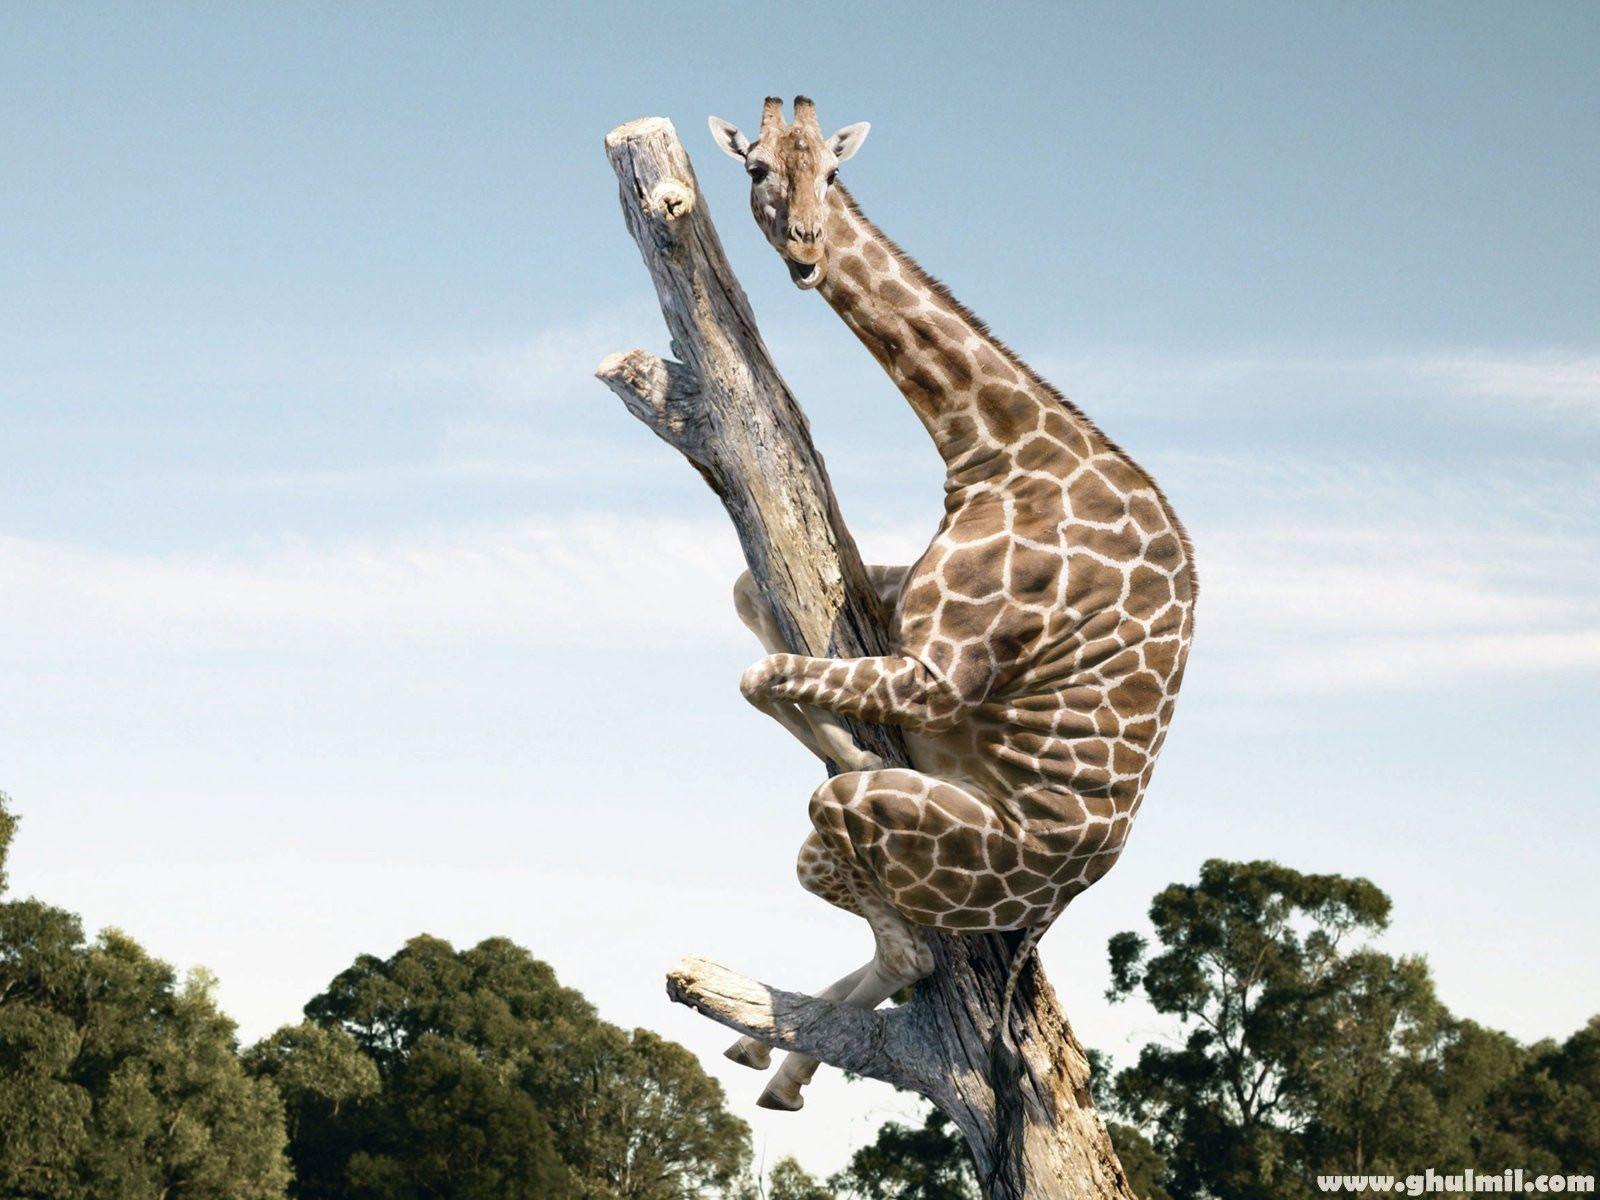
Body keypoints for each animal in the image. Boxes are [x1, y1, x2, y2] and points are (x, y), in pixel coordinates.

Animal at [707, 97, 1197, 1112]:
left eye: (834, 175)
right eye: (757, 168)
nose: (807, 251)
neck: (996, 447)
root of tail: (1058, 899)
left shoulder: (939, 676)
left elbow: (761, 673)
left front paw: (850, 740)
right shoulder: (895, 615)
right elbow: (748, 606)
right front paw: (835, 727)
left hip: (889, 832)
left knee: (907, 946)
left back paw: (778, 1061)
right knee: (899, 954)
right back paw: (768, 1063)